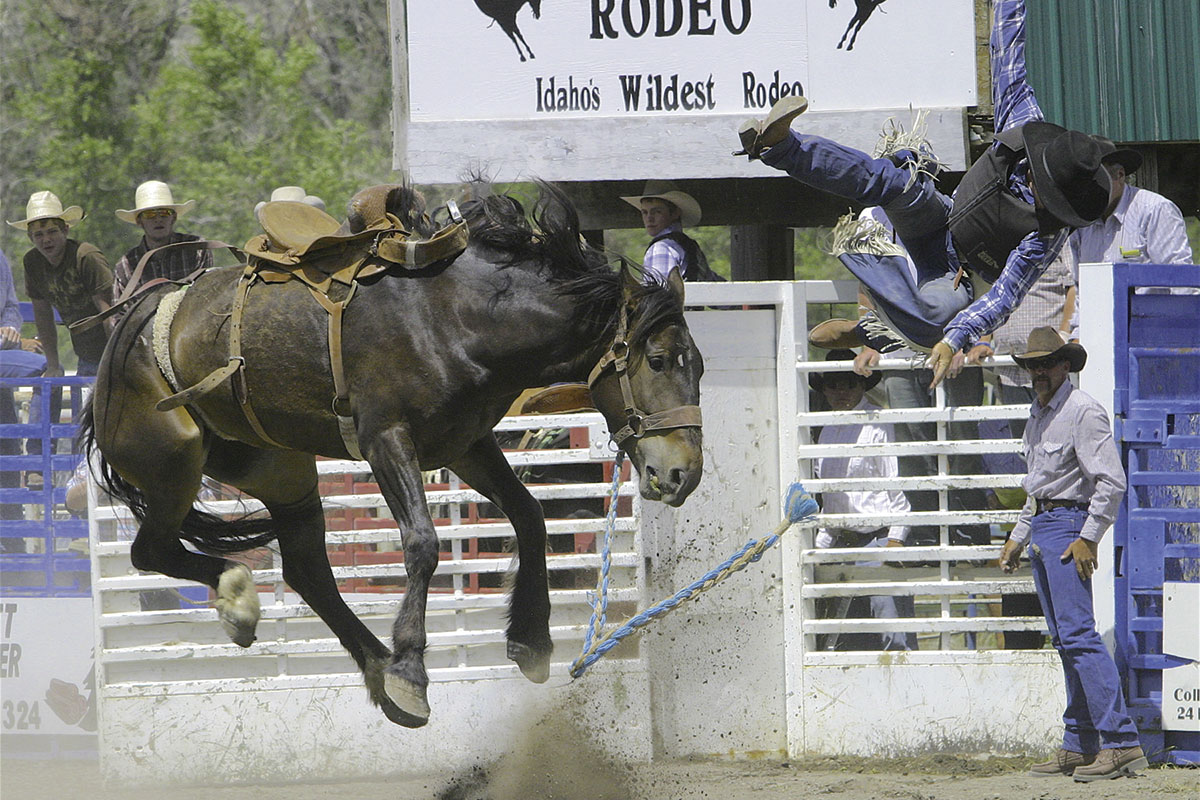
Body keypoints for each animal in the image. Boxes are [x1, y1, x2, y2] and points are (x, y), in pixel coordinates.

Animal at [82, 184, 700, 729]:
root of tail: (127, 327)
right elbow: (423, 543)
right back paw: (251, 605)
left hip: (277, 467)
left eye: (697, 364)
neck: (456, 317)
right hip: (173, 460)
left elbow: (529, 514)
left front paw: (529, 638)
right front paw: (411, 670)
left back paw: (372, 667)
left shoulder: (465, 442)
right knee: (151, 549)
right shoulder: (386, 440)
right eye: (658, 360)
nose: (682, 473)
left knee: (306, 570)